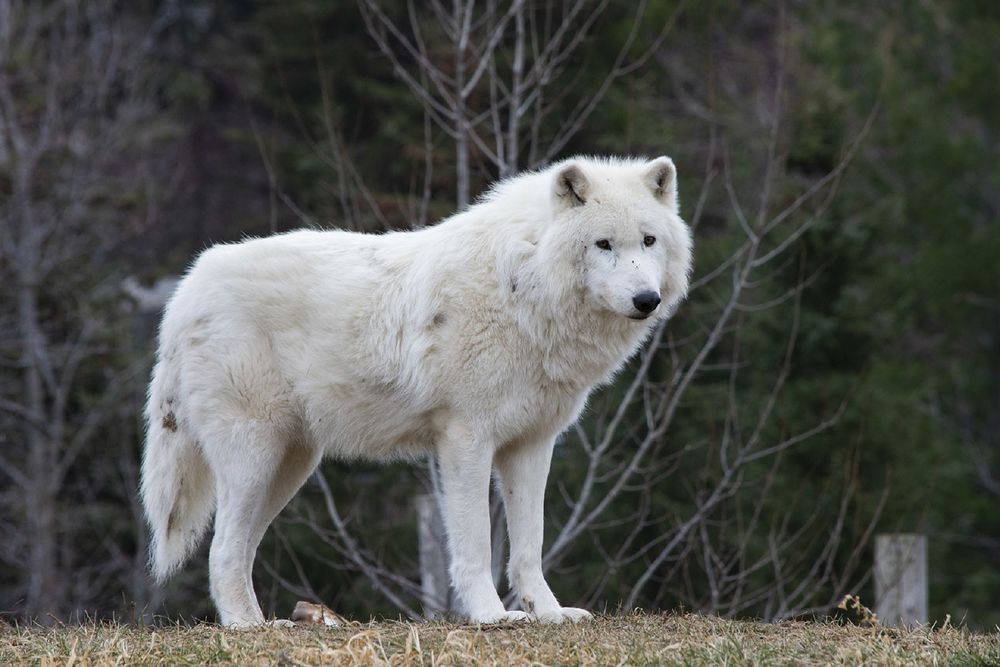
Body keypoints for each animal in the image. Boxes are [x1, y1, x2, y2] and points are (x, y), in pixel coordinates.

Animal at [143, 155, 696, 628]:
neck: (524, 286)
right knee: (221, 550)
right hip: (254, 458)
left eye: (648, 240)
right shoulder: (465, 440)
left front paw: (549, 613)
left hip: (289, 467)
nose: (646, 300)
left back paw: (265, 624)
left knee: (240, 550)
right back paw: (245, 628)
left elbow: (529, 545)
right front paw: (491, 616)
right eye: (603, 244)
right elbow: (475, 543)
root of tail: (186, 287)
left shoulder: (532, 444)